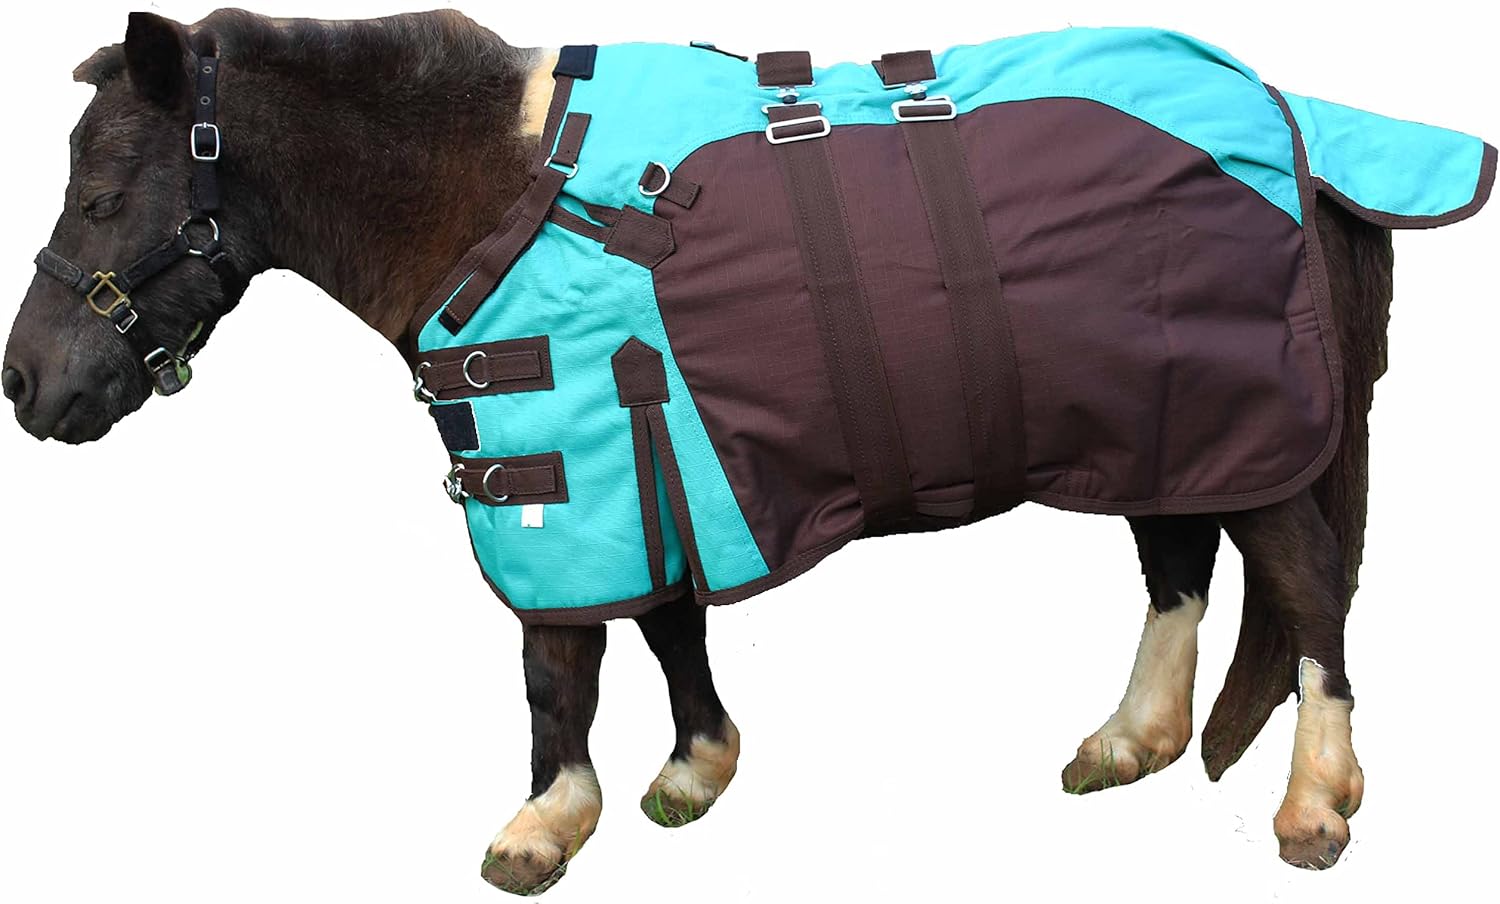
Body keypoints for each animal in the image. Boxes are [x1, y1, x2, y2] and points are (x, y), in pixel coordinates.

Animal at [2, 9, 1493, 896]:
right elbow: (668, 621)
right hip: (1161, 424)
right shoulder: (642, 452)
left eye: (107, 189)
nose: (26, 383)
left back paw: (1316, 804)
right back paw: (1129, 740)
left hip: (1254, 429)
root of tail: (1295, 122)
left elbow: (558, 663)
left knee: (1306, 587)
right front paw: (694, 769)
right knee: (1181, 565)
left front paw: (544, 823)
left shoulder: (568, 466)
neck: (498, 189)